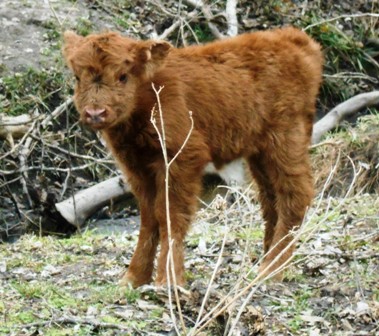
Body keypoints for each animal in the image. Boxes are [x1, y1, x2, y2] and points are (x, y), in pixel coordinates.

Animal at [63, 27, 324, 288]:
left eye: (123, 76)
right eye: (76, 77)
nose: (95, 113)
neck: (149, 96)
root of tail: (294, 39)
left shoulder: (182, 158)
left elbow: (170, 215)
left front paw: (169, 281)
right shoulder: (136, 167)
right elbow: (149, 217)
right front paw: (133, 278)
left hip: (285, 139)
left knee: (295, 195)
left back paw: (270, 270)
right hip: (260, 152)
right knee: (271, 200)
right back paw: (264, 262)